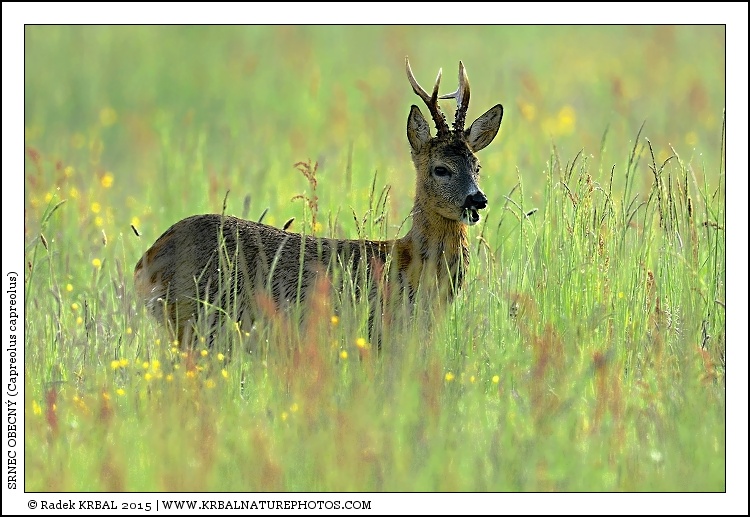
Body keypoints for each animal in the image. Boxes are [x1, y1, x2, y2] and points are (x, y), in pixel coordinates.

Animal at [133, 57, 503, 348]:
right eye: (440, 168)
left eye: (477, 166)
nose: (477, 200)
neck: (408, 263)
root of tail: (146, 260)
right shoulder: (377, 332)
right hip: (196, 321)